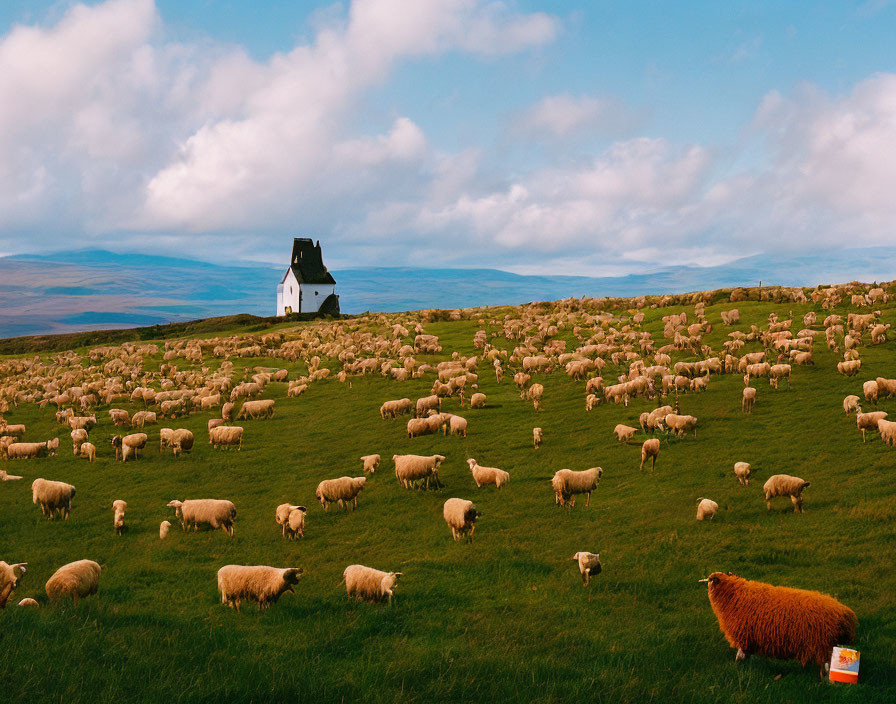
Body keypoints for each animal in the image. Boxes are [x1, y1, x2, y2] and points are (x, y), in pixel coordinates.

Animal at [700, 572, 856, 676]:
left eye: (710, 580)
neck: (734, 593)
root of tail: (845, 613)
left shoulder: (744, 634)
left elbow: (741, 654)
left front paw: (739, 665)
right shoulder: (750, 637)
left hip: (823, 643)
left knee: (827, 665)